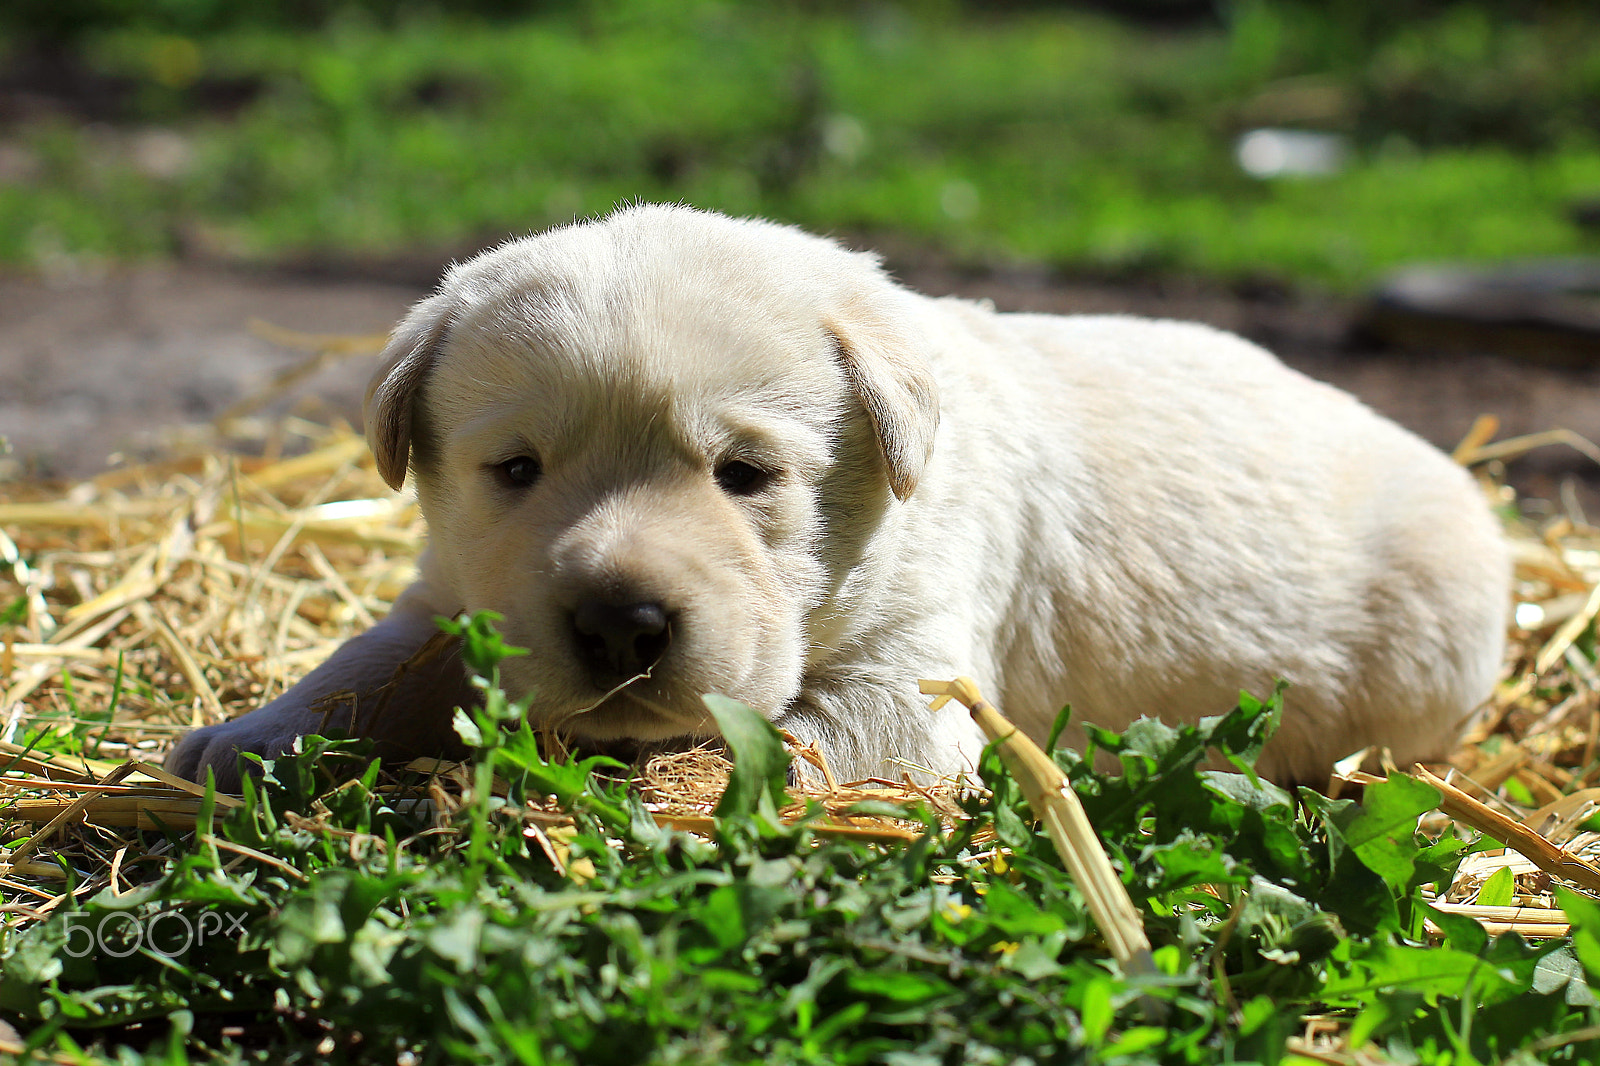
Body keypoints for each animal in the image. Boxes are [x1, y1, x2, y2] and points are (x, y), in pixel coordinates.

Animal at [165, 204, 1510, 787]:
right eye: (516, 471)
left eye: (745, 476)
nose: (619, 623)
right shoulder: (452, 592)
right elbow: (362, 663)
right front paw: (238, 737)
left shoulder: (917, 679)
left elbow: (777, 742)